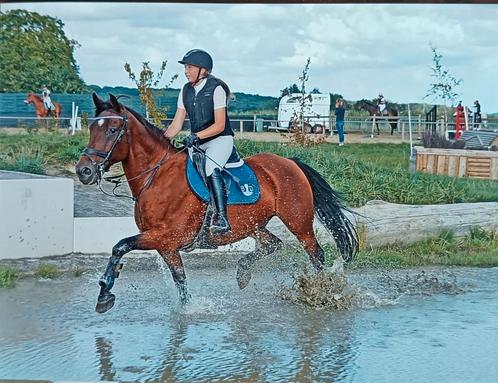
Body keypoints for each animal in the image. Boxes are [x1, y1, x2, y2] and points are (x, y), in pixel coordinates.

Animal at [75, 94, 358, 316]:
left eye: (113, 130)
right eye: (92, 130)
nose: (84, 171)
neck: (156, 177)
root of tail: (290, 162)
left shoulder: (165, 235)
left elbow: (120, 246)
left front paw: (105, 291)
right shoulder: (166, 245)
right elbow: (180, 279)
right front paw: (187, 309)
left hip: (298, 221)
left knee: (316, 254)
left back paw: (319, 292)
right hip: (253, 225)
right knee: (273, 244)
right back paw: (243, 273)